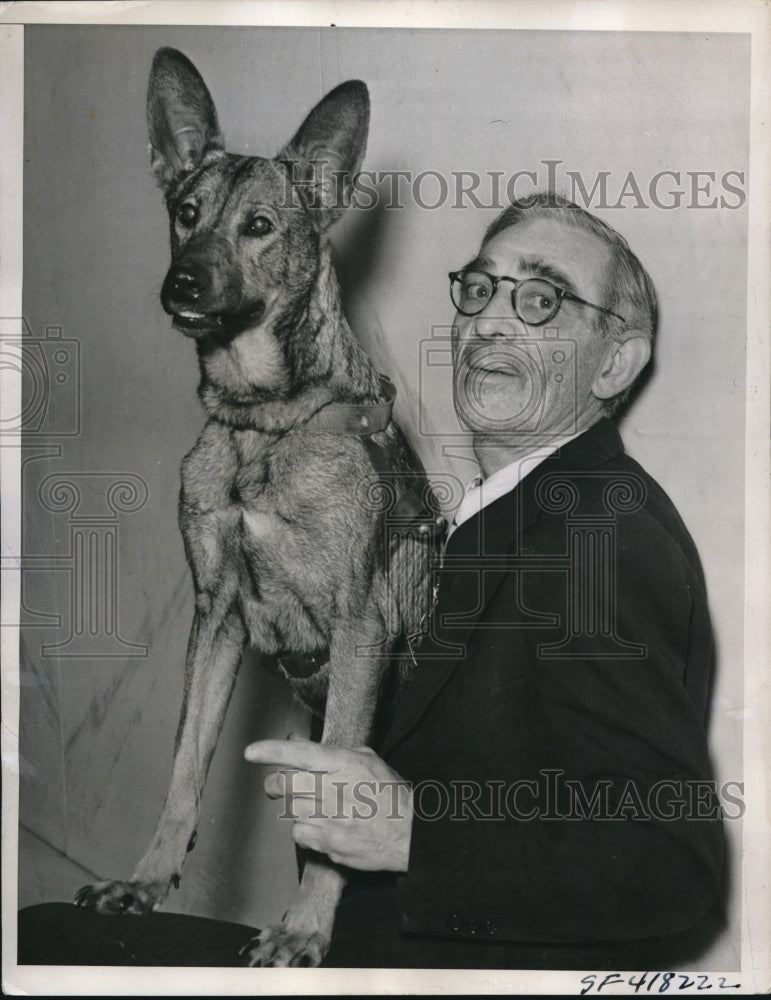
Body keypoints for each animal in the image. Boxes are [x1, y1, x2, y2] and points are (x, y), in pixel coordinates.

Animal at [78, 50, 444, 964]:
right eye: (186, 214)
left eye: (261, 226)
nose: (182, 282)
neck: (263, 426)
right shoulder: (216, 618)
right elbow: (185, 767)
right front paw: (145, 880)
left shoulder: (357, 627)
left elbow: (339, 812)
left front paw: (305, 929)